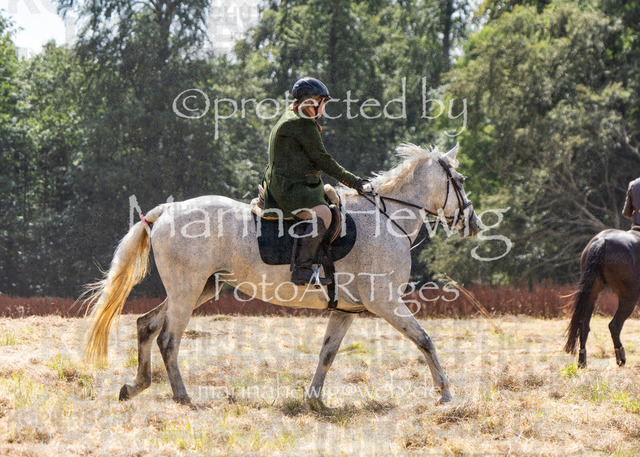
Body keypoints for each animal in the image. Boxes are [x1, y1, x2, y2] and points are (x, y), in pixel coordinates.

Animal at [83, 143, 481, 406]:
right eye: (460, 179)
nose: (474, 223)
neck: (387, 220)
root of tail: (167, 211)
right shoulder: (386, 302)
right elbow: (425, 340)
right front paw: (445, 394)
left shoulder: (345, 311)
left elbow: (327, 353)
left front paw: (315, 400)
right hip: (187, 290)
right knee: (168, 339)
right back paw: (183, 397)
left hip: (201, 289)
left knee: (146, 325)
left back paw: (136, 386)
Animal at [564, 228, 640, 368]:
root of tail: (603, 240)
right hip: (629, 296)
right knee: (614, 325)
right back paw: (620, 357)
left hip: (592, 293)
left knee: (584, 325)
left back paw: (582, 361)